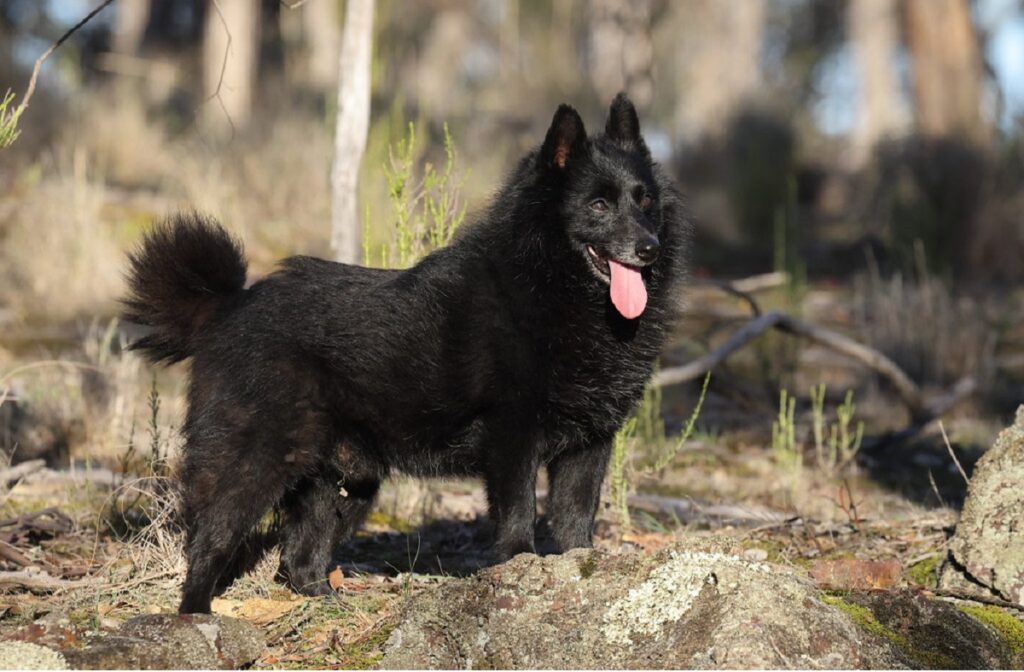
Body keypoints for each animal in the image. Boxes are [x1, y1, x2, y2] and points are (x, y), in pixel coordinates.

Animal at [123, 94, 692, 614]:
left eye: (643, 200)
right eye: (598, 205)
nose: (648, 248)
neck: (550, 286)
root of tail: (228, 305)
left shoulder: (590, 443)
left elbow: (575, 522)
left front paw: (580, 575)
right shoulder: (513, 437)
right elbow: (518, 515)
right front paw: (520, 570)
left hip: (344, 481)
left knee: (299, 559)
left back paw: (328, 606)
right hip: (257, 457)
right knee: (211, 538)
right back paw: (196, 618)